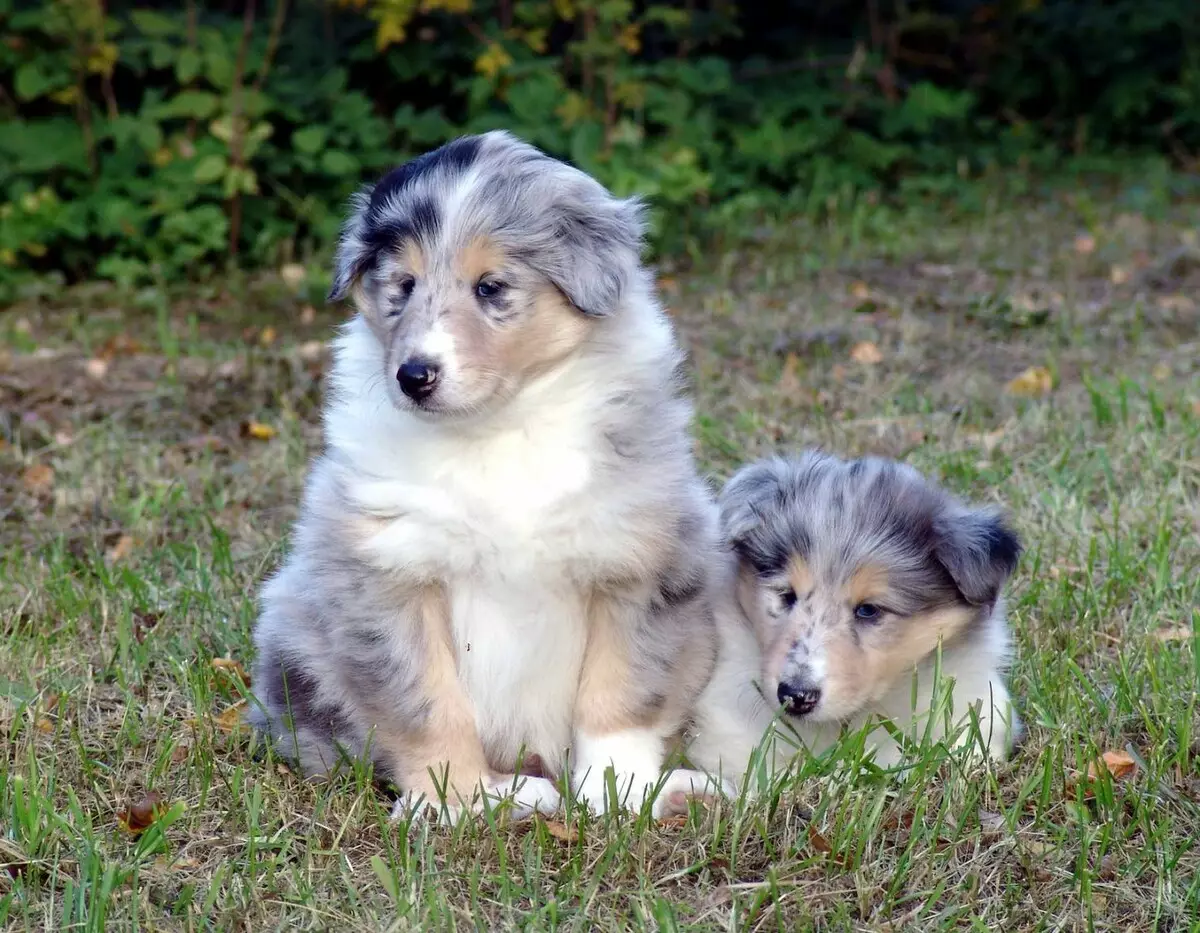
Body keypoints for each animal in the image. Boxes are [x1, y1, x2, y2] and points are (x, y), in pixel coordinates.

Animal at [250, 132, 720, 820]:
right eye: (403, 284)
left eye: (491, 287)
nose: (414, 376)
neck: (496, 430)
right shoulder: (389, 574)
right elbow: (429, 702)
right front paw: (453, 803)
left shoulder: (640, 562)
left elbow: (620, 690)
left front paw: (618, 792)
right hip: (296, 628)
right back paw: (514, 793)